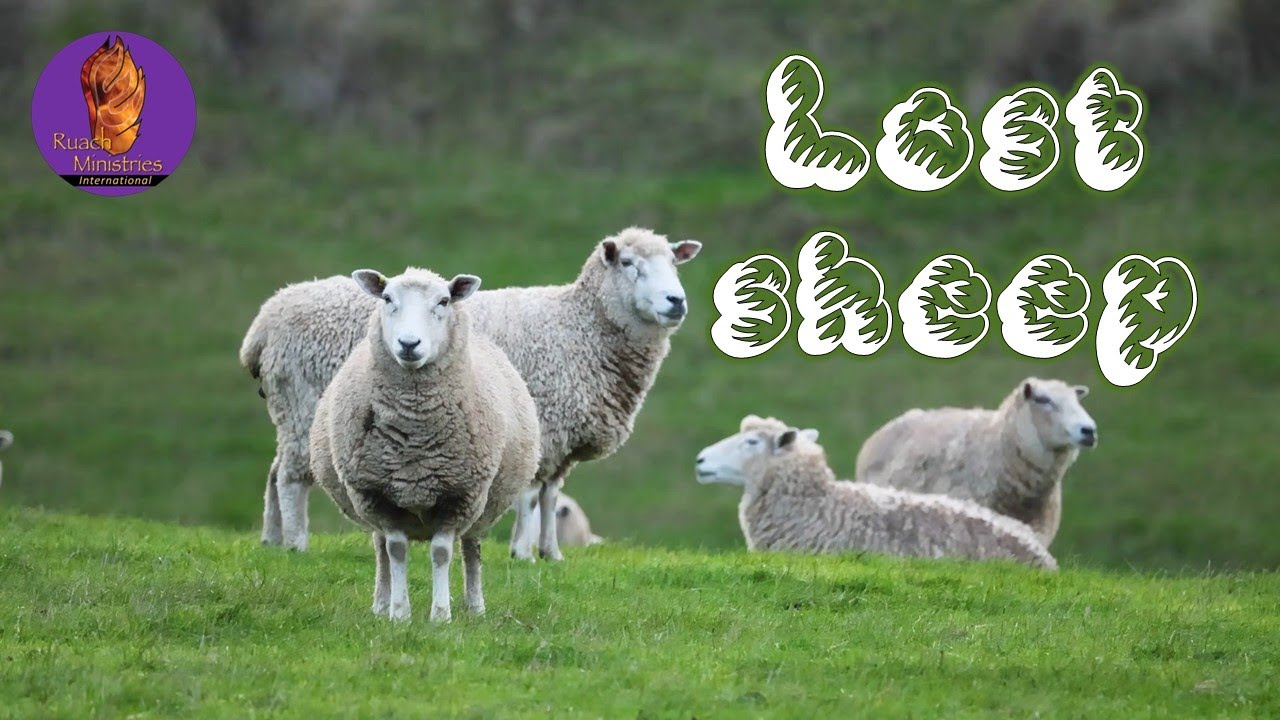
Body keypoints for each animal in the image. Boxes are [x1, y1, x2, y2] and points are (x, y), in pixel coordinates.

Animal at [242, 227, 701, 558]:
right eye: (628, 263)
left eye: (674, 263)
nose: (676, 301)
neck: (579, 326)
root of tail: (264, 321)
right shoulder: (541, 422)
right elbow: (530, 496)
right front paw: (522, 553)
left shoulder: (557, 438)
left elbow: (551, 495)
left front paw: (552, 554)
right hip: (303, 403)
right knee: (291, 476)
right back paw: (297, 544)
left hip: (291, 411)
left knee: (274, 471)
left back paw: (271, 540)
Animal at [308, 267, 540, 622]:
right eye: (387, 298)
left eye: (443, 301)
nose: (408, 343)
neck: (414, 437)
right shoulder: (377, 495)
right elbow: (395, 550)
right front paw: (399, 613)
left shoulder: (459, 496)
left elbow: (442, 552)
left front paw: (441, 615)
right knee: (381, 551)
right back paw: (381, 604)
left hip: (482, 506)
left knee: (471, 549)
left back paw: (475, 607)